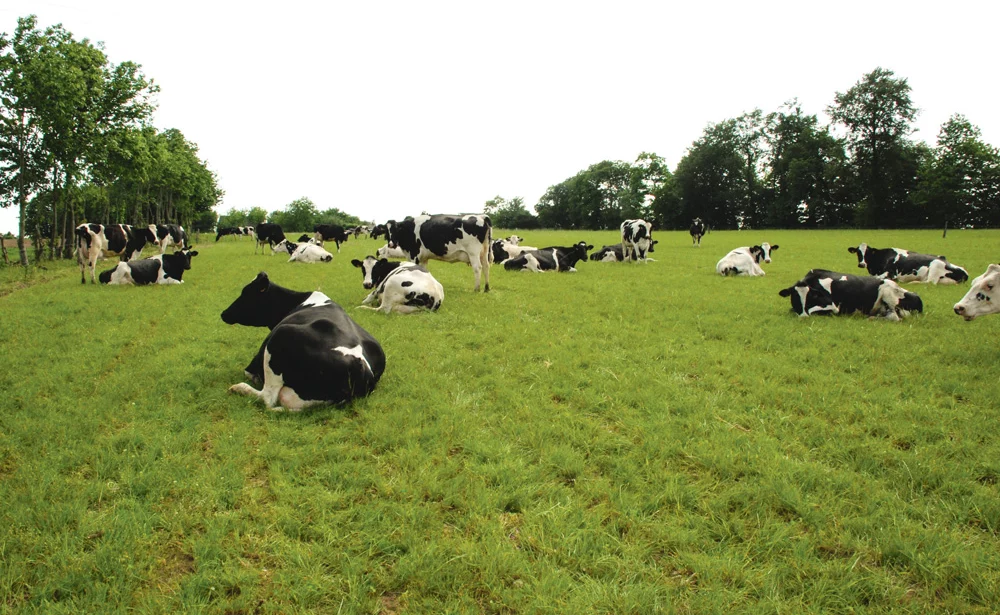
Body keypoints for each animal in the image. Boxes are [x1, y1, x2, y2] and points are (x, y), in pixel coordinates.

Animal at [221, 272, 384, 412]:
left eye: (246, 293)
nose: (223, 313)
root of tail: (360, 366)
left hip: (281, 335)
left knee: (268, 398)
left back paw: (240, 388)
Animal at [776, 268, 924, 322]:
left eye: (810, 296)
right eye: (795, 297)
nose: (803, 317)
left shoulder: (834, 307)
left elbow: (815, 311)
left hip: (889, 293)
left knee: (894, 317)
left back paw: (871, 318)